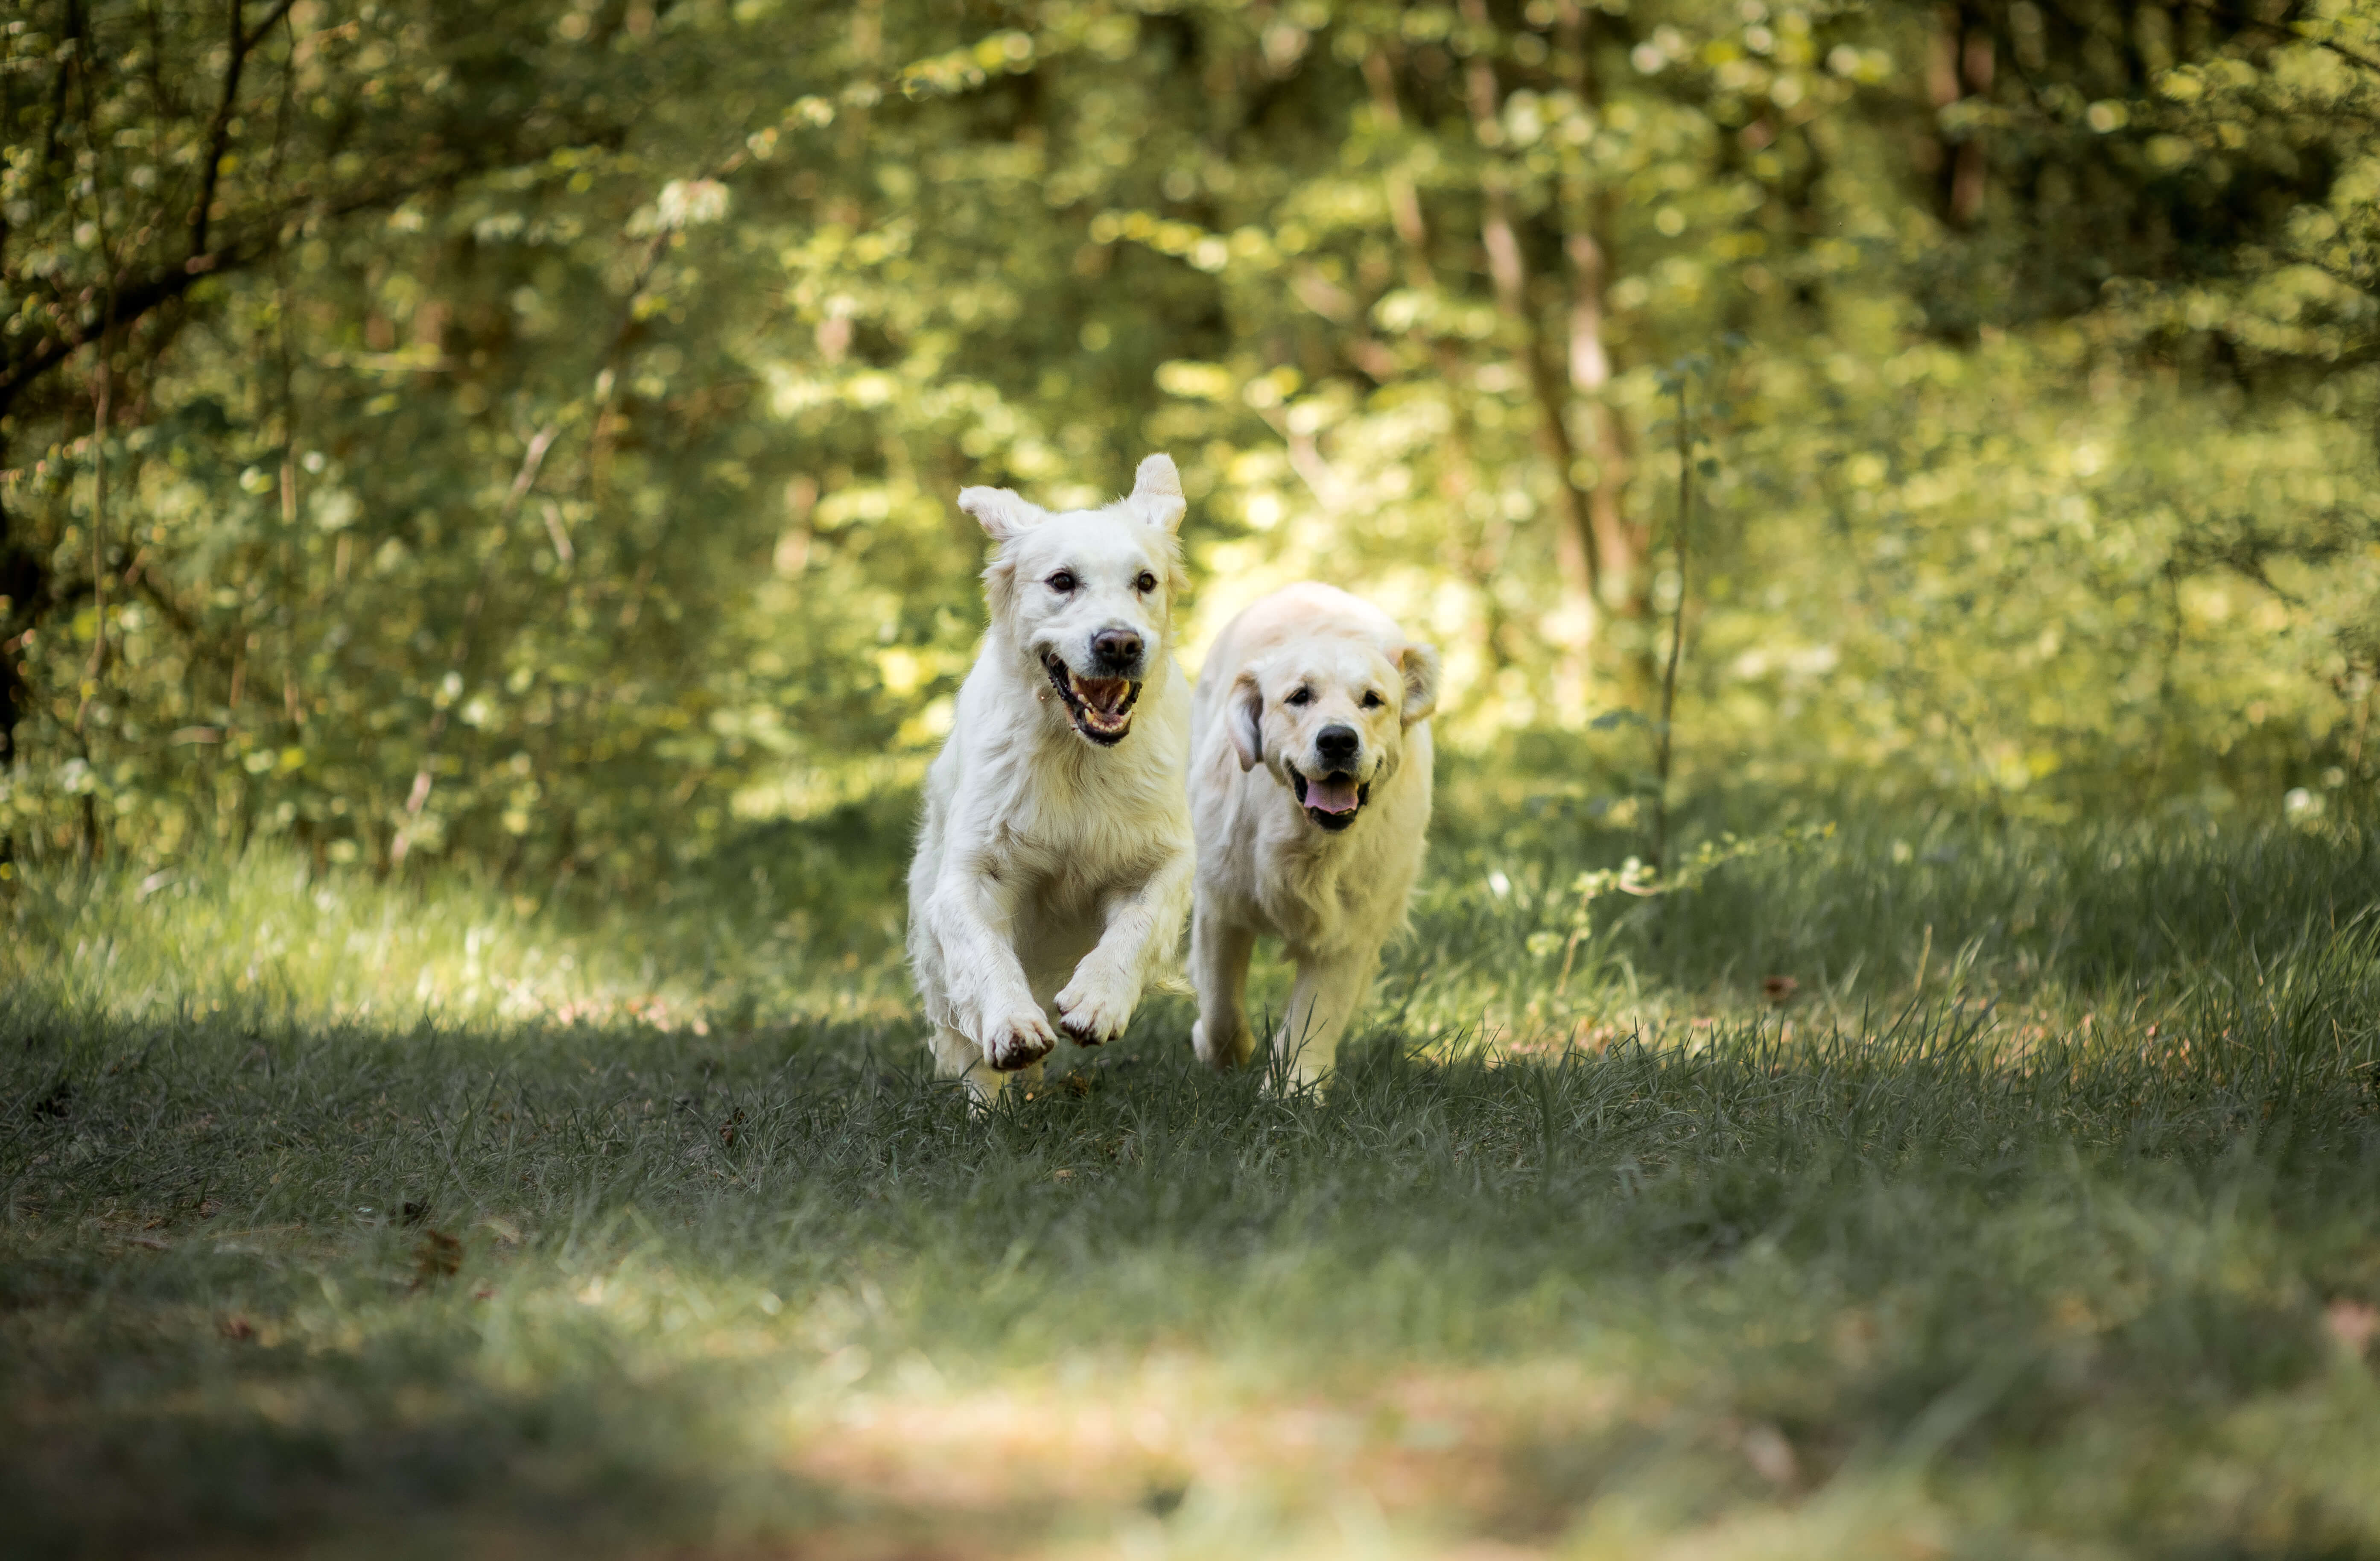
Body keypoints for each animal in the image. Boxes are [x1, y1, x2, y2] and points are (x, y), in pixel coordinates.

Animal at [914, 457, 1209, 1104]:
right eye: (1061, 581)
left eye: (1145, 581)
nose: (1119, 643)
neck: (1078, 755)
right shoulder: (969, 874)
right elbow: (984, 953)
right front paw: (1012, 1024)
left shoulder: (1164, 855)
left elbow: (1137, 926)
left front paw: (1097, 1001)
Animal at [1185, 585, 1437, 1085]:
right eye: (1299, 696)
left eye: (1372, 699)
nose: (1338, 740)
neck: (1307, 841)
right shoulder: (1220, 902)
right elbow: (1221, 1004)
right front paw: (1221, 1051)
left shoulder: (1352, 926)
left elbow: (1315, 1014)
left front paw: (1294, 1088)